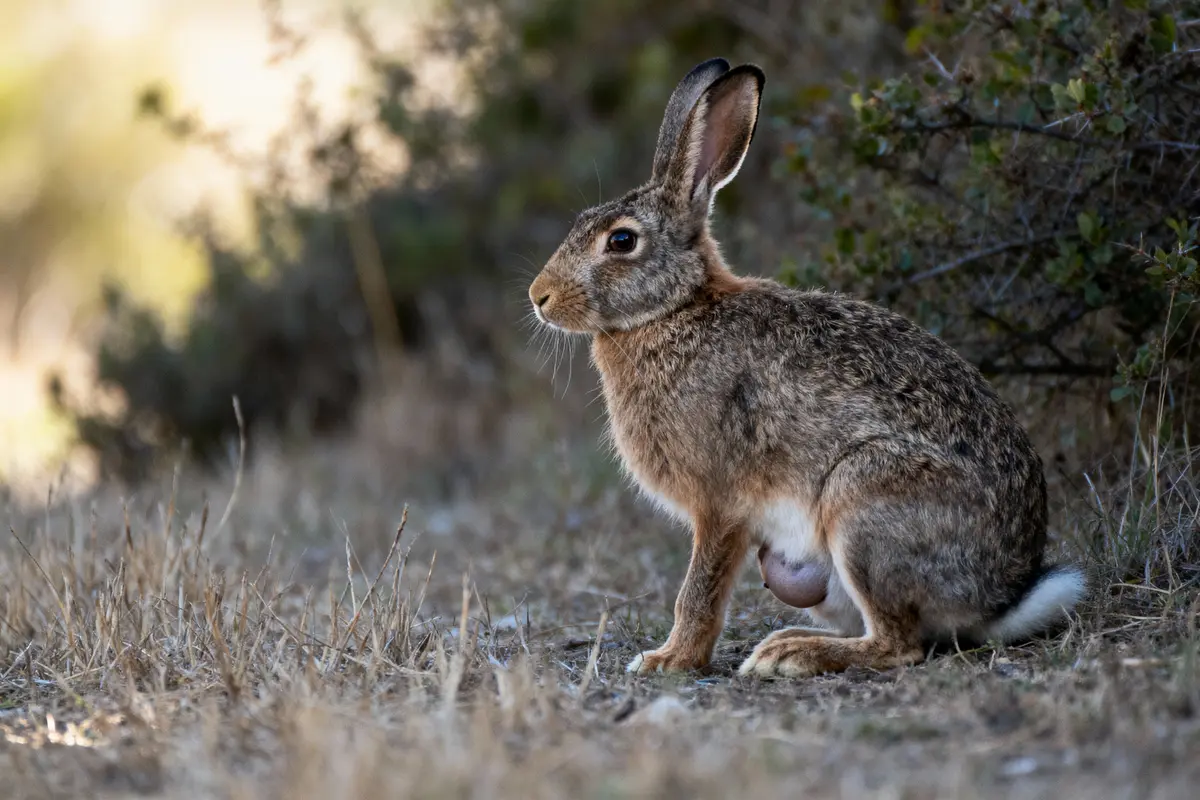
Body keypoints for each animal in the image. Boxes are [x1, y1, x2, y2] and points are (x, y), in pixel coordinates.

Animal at [527, 57, 1086, 678]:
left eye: (622, 241)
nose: (539, 297)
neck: (676, 309)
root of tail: (1001, 596)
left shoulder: (720, 504)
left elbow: (699, 591)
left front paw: (668, 660)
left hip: (862, 503)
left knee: (899, 643)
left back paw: (789, 654)